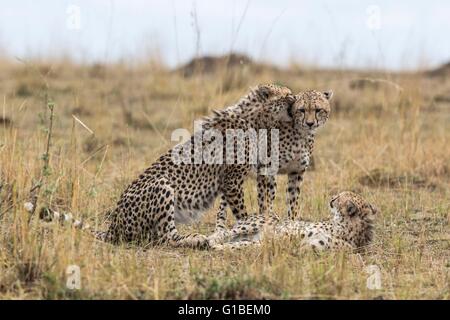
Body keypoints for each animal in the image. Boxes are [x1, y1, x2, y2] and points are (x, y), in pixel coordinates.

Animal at [36, 84, 296, 249]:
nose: (294, 99)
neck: (257, 119)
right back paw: (194, 239)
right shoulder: (231, 180)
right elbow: (242, 212)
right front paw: (252, 227)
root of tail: (113, 226)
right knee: (165, 237)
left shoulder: (230, 182)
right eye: (286, 94)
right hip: (161, 185)